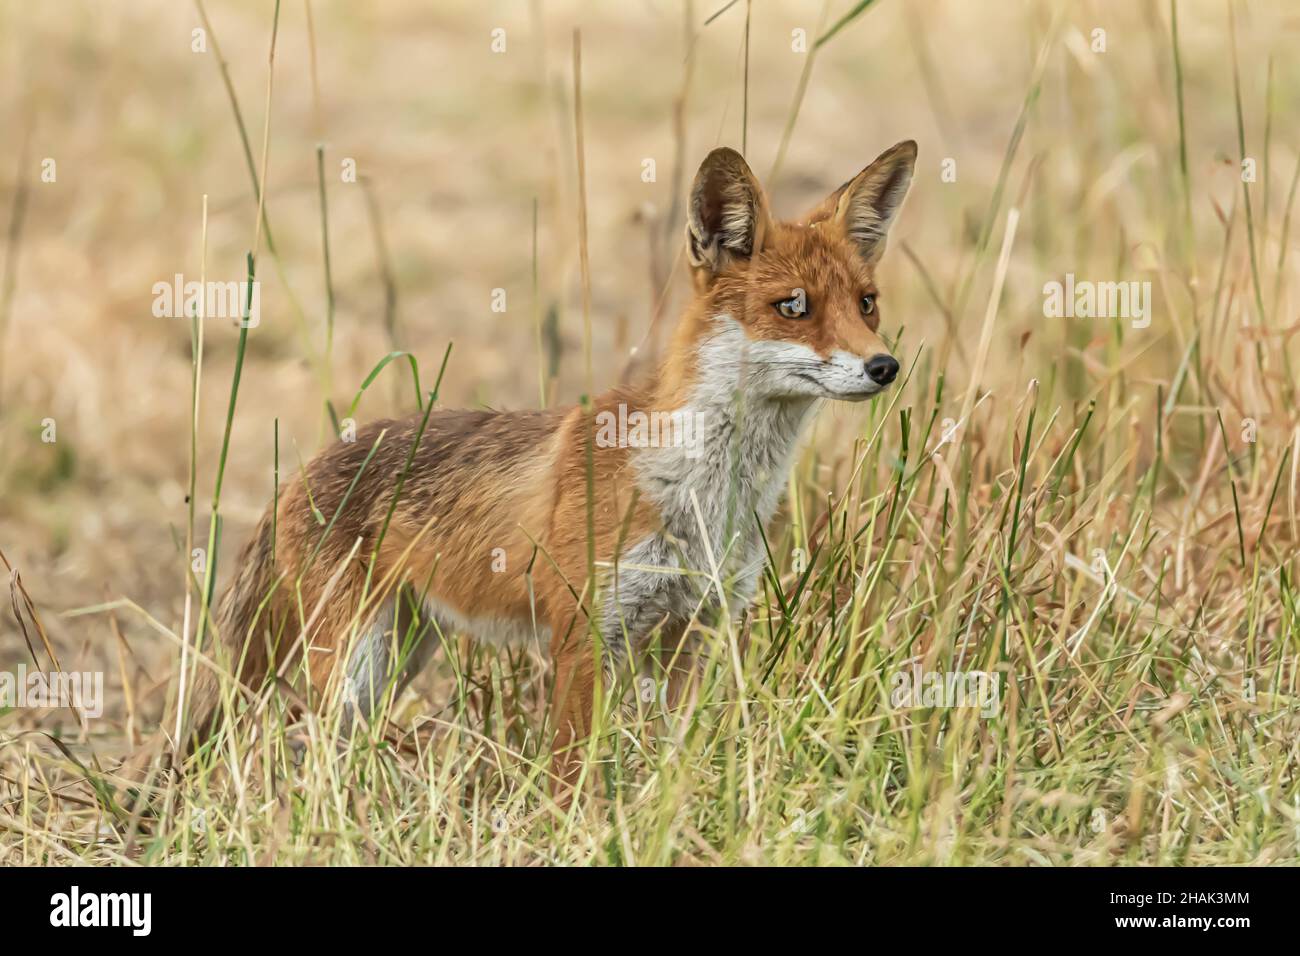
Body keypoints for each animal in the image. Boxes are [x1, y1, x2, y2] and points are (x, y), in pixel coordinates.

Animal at [168, 139, 917, 794]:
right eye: (793, 306)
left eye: (867, 303)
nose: (884, 366)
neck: (703, 491)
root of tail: (304, 466)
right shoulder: (584, 632)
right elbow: (569, 774)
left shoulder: (693, 630)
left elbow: (667, 758)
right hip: (353, 660)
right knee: (300, 749)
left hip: (400, 654)